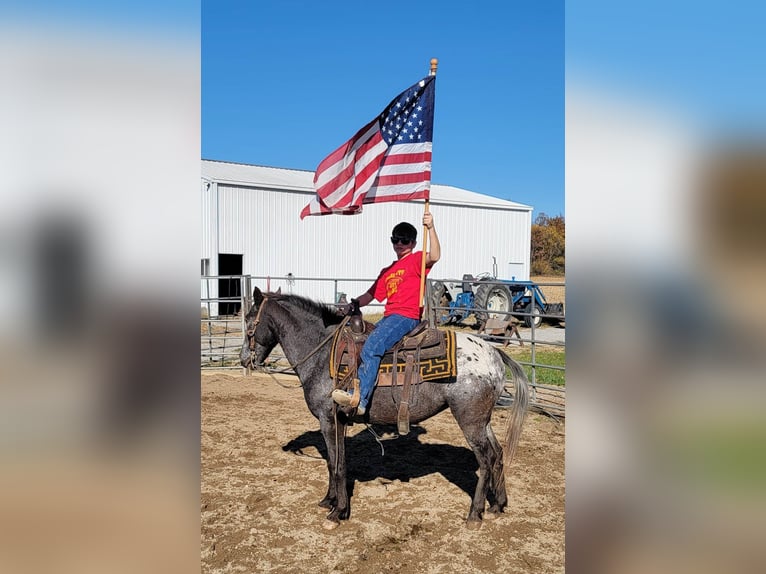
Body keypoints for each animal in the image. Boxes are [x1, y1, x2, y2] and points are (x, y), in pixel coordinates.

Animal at [240, 288, 528, 532]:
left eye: (249, 321)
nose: (244, 359)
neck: (323, 354)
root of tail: (494, 354)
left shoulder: (329, 419)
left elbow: (336, 464)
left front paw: (338, 512)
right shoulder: (339, 422)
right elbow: (336, 463)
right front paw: (329, 501)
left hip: (470, 421)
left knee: (486, 460)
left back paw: (475, 514)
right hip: (483, 421)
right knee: (497, 454)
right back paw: (497, 504)